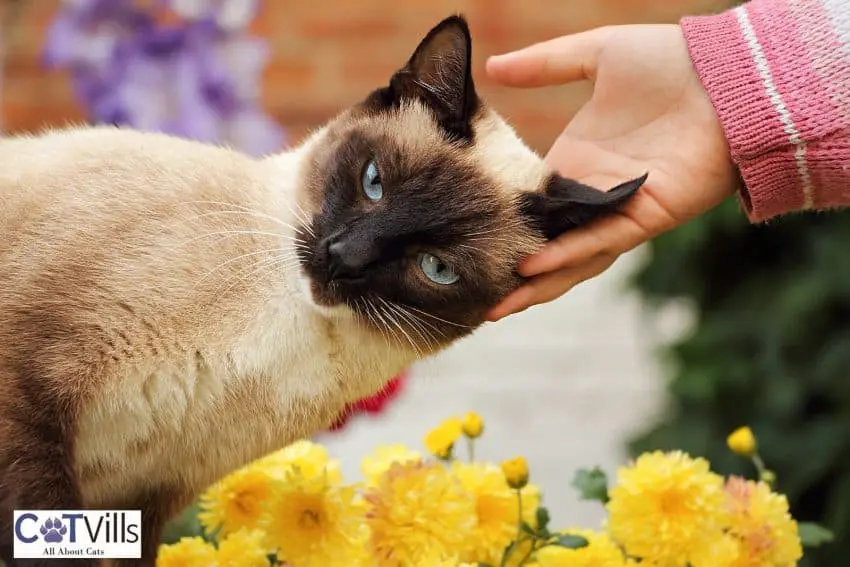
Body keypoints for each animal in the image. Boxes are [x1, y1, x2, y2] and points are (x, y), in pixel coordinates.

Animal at [0, 14, 644, 567]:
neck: (291, 323)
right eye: (373, 182)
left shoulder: (147, 495)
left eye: (436, 268)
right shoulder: (31, 408)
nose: (343, 259)